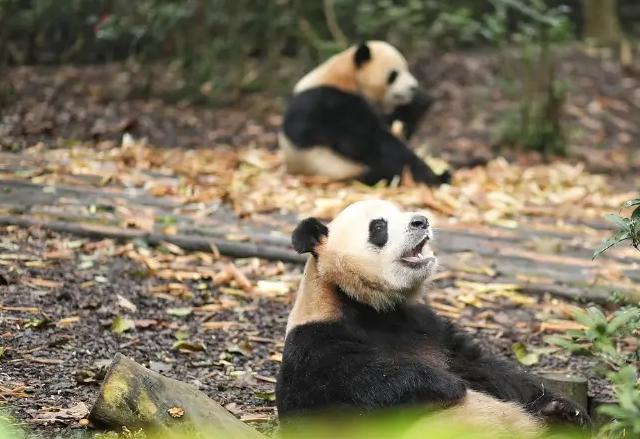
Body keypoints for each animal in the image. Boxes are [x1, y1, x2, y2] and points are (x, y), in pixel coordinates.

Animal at [276, 201, 592, 438]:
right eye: (379, 226)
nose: (421, 221)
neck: (367, 304)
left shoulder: (428, 326)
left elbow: (482, 366)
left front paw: (565, 408)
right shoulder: (316, 340)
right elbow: (357, 387)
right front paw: (446, 384)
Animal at [280, 40, 450, 186]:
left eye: (407, 69)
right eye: (393, 74)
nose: (413, 87)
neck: (345, 77)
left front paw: (420, 101)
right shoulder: (328, 101)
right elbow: (363, 140)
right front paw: (431, 174)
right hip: (336, 168)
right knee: (387, 168)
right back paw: (437, 177)